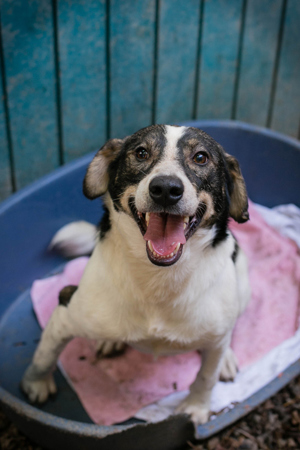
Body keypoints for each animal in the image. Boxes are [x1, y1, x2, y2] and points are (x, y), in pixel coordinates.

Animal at [21, 124, 251, 426]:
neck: (158, 277)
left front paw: (195, 407)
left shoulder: (214, 335)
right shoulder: (66, 309)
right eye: (141, 152)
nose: (165, 189)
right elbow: (44, 356)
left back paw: (226, 357)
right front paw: (35, 384)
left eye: (201, 157)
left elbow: (206, 376)